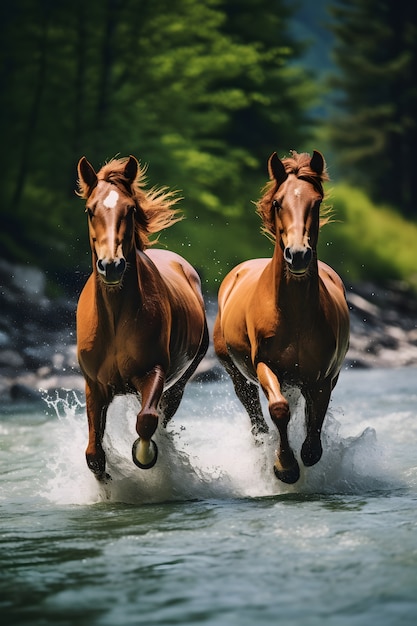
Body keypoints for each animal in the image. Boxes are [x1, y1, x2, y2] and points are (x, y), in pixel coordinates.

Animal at [76, 156, 208, 478]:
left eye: (130, 209)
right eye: (90, 209)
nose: (111, 265)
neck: (114, 319)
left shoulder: (153, 371)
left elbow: (146, 421)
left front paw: (144, 454)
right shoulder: (95, 385)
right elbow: (93, 453)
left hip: (181, 379)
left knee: (162, 412)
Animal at [213, 150, 350, 482]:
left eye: (317, 202)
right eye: (278, 202)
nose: (297, 255)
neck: (293, 314)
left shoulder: (323, 375)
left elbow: (315, 415)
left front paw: (308, 452)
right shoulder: (265, 365)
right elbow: (279, 409)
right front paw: (284, 466)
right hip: (235, 370)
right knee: (251, 405)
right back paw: (262, 440)